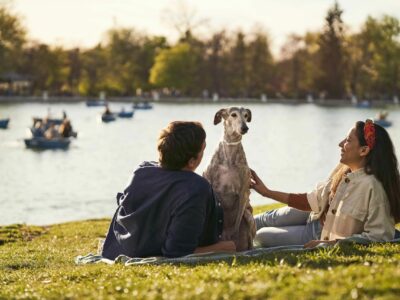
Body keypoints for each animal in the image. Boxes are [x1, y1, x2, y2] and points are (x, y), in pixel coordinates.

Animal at [205, 106, 258, 251]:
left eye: (246, 115)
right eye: (233, 115)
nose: (245, 128)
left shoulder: (244, 193)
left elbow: (237, 223)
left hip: (249, 217)